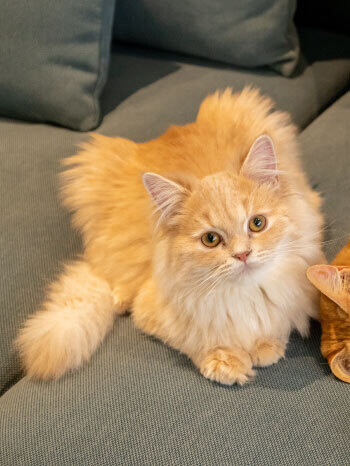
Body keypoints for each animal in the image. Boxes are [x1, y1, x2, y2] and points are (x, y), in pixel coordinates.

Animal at [14, 88, 326, 386]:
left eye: (257, 223)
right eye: (210, 240)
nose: (242, 254)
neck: (245, 295)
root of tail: (166, 132)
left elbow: (278, 325)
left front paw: (266, 346)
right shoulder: (156, 310)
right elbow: (196, 340)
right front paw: (226, 361)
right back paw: (118, 298)